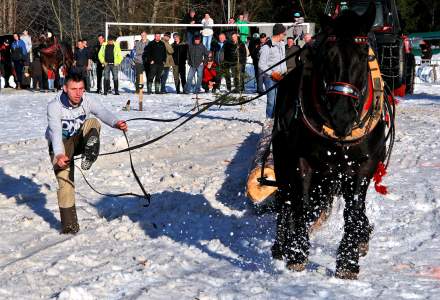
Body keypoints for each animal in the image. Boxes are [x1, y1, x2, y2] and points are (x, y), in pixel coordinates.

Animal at [272, 1, 392, 280]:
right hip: (283, 160)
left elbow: (354, 208)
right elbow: (301, 203)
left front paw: (348, 258)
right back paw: (281, 244)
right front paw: (297, 253)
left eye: (363, 55)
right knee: (286, 198)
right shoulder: (302, 160)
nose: (341, 115)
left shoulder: (364, 164)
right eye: (327, 56)